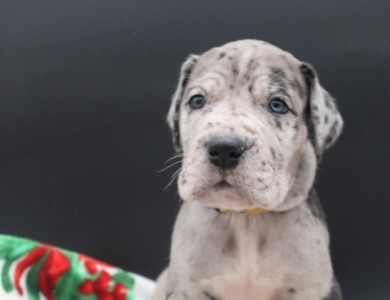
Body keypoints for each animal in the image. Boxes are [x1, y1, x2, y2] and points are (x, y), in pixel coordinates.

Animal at [154, 40, 342, 300]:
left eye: (278, 105)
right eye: (197, 101)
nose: (223, 149)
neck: (245, 220)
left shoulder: (311, 288)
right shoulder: (187, 289)